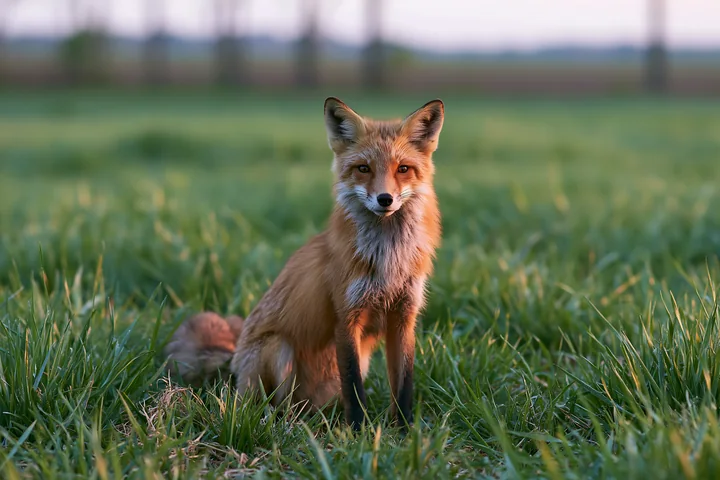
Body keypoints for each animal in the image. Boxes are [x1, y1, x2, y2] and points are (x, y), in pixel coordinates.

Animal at [165, 97, 444, 430]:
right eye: (363, 168)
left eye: (403, 169)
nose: (385, 199)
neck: (388, 259)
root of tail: (234, 363)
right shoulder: (345, 317)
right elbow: (354, 387)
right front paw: (358, 431)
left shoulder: (404, 317)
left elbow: (403, 385)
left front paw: (404, 431)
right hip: (278, 350)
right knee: (275, 405)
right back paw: (286, 423)